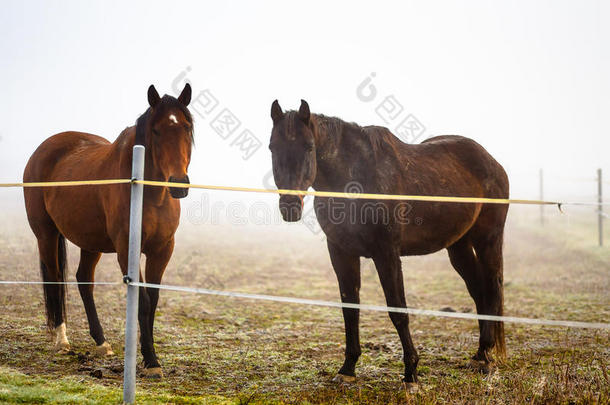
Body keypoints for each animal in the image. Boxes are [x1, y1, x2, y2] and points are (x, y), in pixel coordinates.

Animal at [23, 83, 192, 378]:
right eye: (157, 131)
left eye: (186, 127)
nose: (178, 184)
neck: (146, 190)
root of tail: (42, 150)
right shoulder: (126, 249)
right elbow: (142, 301)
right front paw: (151, 361)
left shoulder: (162, 250)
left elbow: (153, 299)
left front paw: (149, 356)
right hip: (46, 234)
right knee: (55, 278)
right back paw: (61, 340)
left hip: (90, 241)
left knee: (83, 280)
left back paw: (101, 342)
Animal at [268, 99, 508, 386]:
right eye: (272, 147)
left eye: (309, 147)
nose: (290, 207)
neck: (356, 179)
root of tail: (491, 161)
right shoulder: (341, 253)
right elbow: (350, 308)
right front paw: (348, 368)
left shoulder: (387, 254)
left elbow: (398, 310)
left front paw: (411, 371)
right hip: (458, 246)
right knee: (478, 290)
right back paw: (480, 353)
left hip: (487, 239)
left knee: (492, 288)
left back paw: (485, 356)